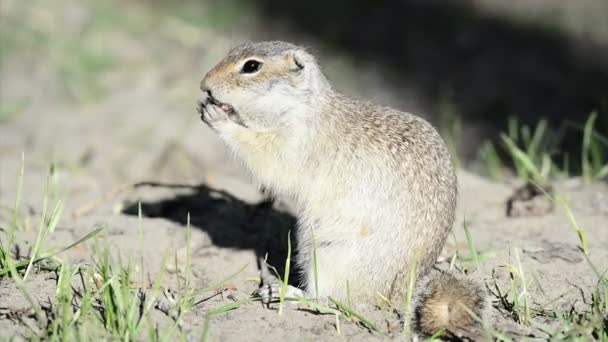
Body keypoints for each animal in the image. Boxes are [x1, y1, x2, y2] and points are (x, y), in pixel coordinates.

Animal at [197, 41, 486, 338]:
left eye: (252, 66)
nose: (204, 85)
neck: (304, 106)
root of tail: (402, 291)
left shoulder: (295, 143)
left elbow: (266, 158)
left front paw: (217, 116)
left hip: (328, 257)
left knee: (325, 300)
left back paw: (284, 292)